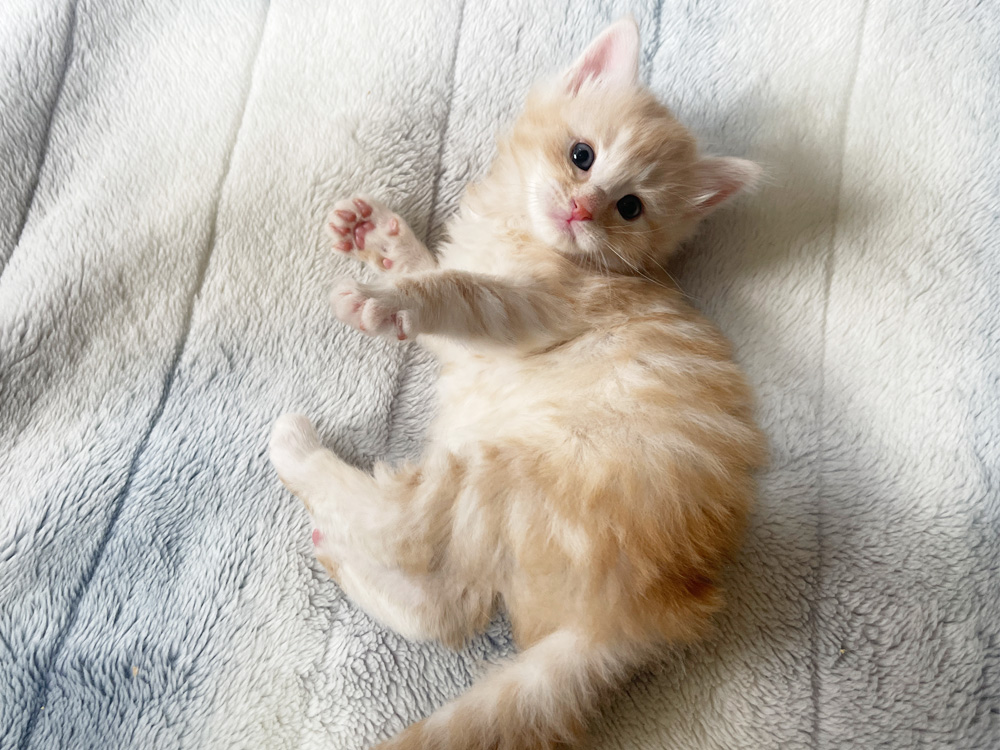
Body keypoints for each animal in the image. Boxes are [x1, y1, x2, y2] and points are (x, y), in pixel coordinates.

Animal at [269, 17, 766, 750]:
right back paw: (341, 555)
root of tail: (648, 613)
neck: (521, 232)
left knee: (407, 528)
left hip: (506, 476)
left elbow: (456, 290)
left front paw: (388, 298)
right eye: (582, 155)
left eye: (630, 208)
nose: (581, 210)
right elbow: (438, 265)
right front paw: (379, 234)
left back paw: (298, 450)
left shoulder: (535, 308)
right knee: (451, 611)